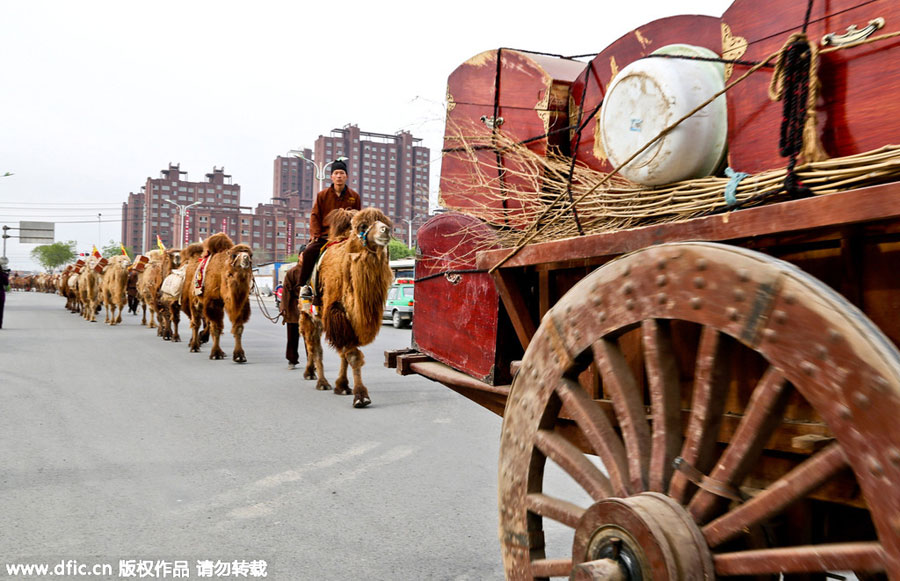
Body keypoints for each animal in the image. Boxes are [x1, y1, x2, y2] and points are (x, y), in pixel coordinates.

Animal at [188, 232, 253, 360]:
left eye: (250, 254)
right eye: (234, 255)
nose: (246, 258)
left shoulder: (240, 304)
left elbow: (238, 327)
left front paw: (239, 355)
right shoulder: (214, 302)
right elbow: (216, 327)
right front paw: (216, 353)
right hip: (195, 301)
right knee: (196, 322)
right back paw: (194, 346)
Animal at [300, 208, 392, 408]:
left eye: (386, 221)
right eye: (363, 226)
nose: (386, 230)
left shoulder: (350, 321)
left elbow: (345, 354)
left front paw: (343, 386)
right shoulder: (336, 313)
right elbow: (353, 355)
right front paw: (361, 396)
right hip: (308, 314)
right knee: (314, 347)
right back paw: (319, 380)